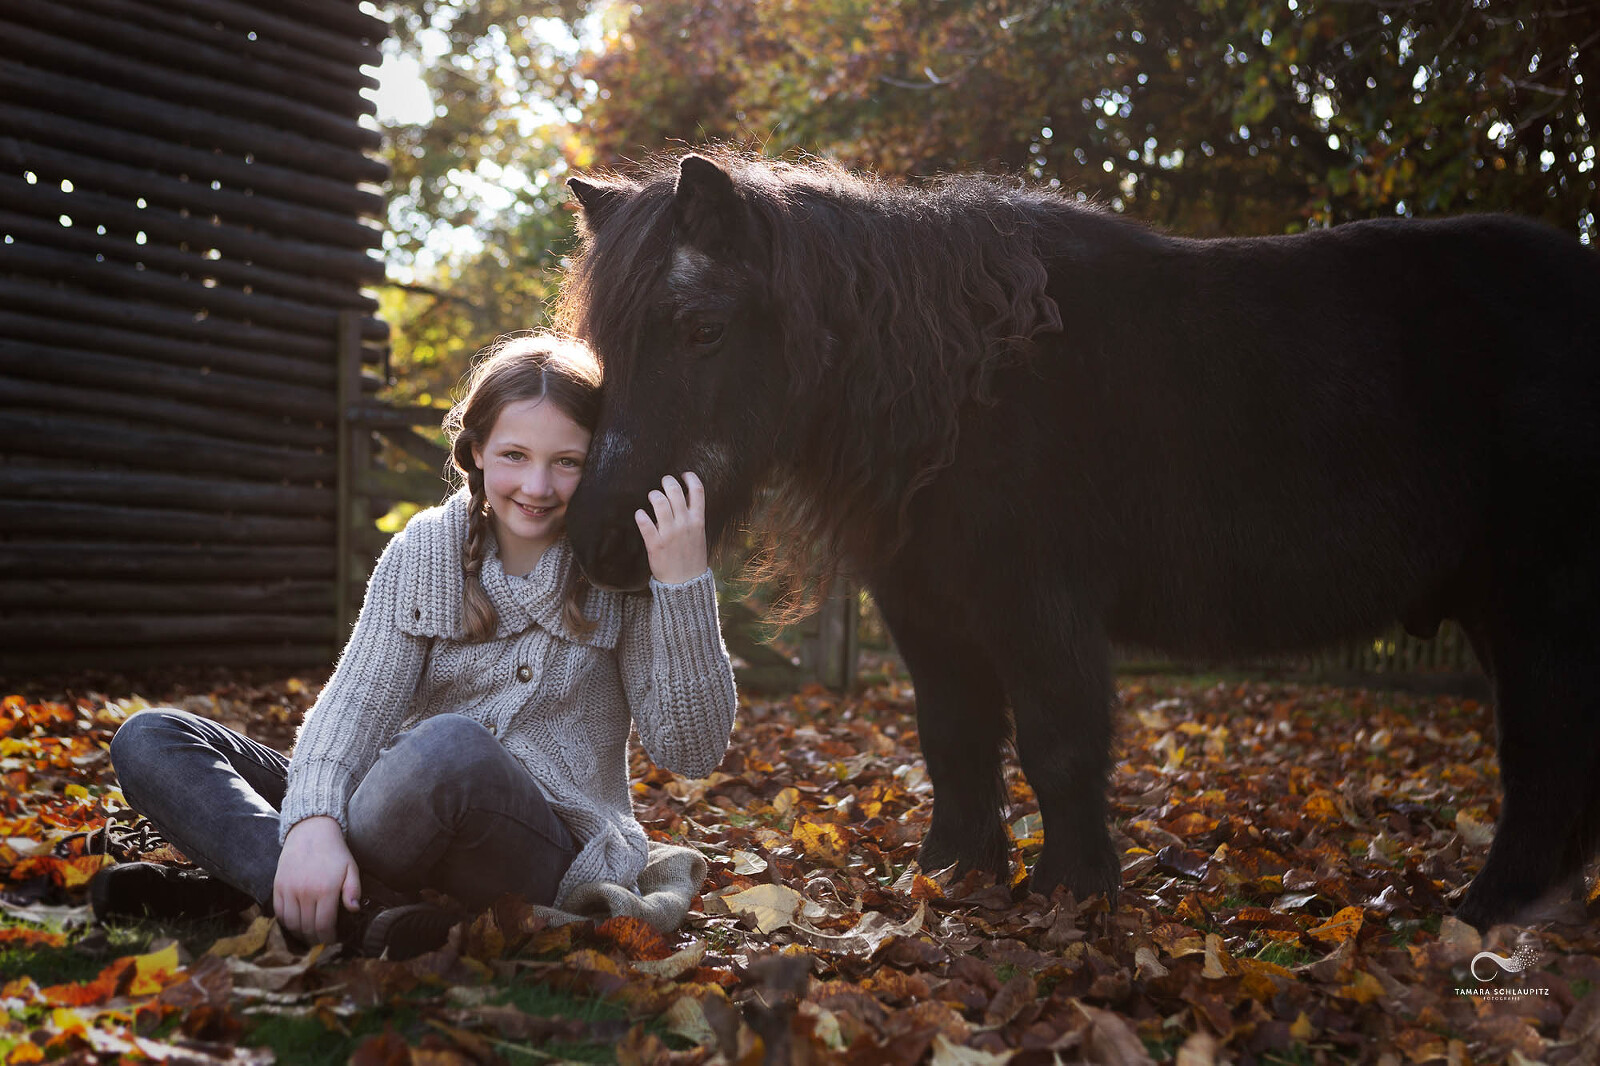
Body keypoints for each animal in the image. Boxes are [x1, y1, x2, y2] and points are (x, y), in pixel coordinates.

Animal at [553, 149, 1600, 928]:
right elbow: (955, 742)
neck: (965, 390)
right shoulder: (929, 612)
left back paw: (1491, 912)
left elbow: (1058, 743)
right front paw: (954, 877)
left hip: (1540, 609)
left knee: (1543, 756)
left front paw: (1073, 893)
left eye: (702, 328)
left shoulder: (1038, 607)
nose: (600, 546)